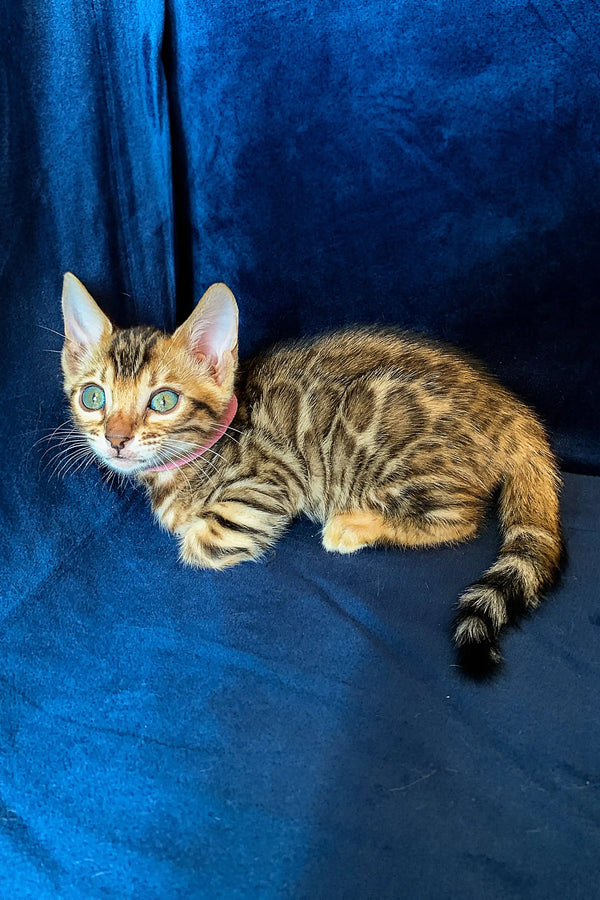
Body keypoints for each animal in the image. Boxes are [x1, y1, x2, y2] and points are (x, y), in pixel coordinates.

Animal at [58, 272, 564, 676]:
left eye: (163, 401)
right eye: (93, 397)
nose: (116, 438)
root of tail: (514, 412)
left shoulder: (267, 485)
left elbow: (197, 543)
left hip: (387, 450)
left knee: (462, 517)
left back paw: (353, 525)